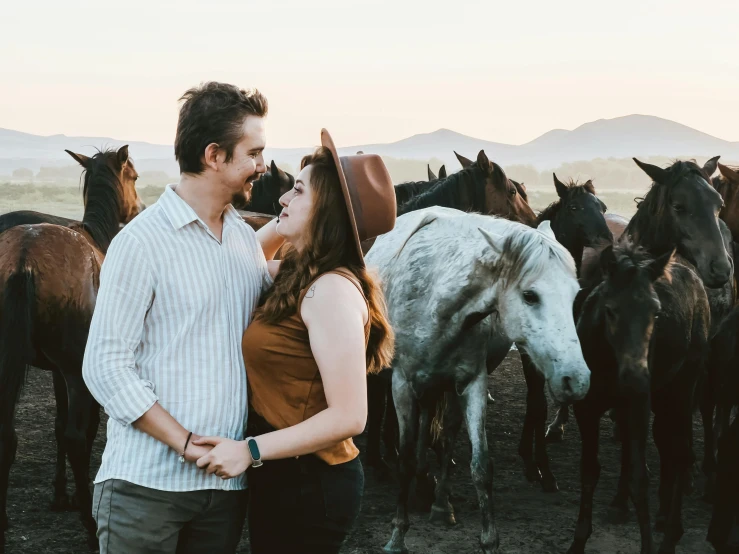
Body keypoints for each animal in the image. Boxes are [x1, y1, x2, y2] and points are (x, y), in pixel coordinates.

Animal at [0, 146, 144, 548]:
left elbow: (57, 422)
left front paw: (59, 493)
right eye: (135, 176)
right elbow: (80, 428)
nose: (140, 207)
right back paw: (91, 525)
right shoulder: (79, 372)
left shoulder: (54, 371)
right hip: (76, 371)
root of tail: (24, 256)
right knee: (78, 440)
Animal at [368, 206, 592, 552]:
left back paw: (440, 503)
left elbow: (481, 466)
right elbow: (404, 460)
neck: (436, 301)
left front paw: (488, 539)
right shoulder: (402, 384)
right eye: (530, 295)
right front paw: (397, 535)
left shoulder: (472, 383)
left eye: (574, 296)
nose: (576, 379)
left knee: (445, 434)